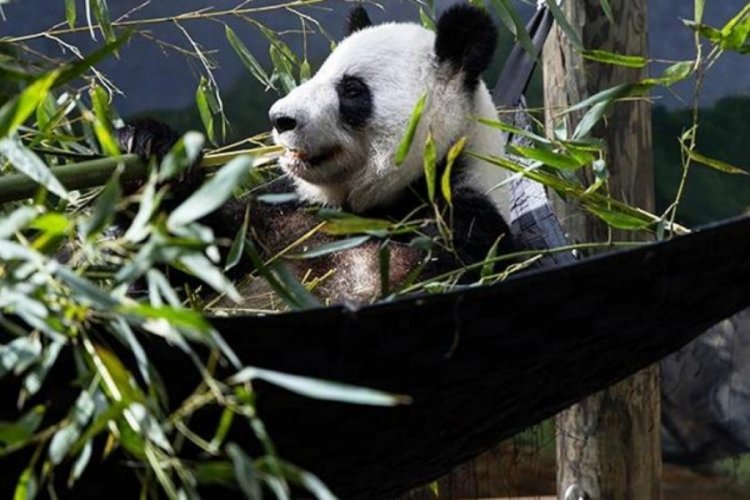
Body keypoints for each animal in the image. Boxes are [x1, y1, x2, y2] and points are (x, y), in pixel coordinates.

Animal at [118, 3, 514, 308]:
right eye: (316, 74)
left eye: (351, 90)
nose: (280, 119)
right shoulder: (281, 211)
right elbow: (188, 266)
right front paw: (147, 148)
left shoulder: (461, 222)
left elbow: (401, 277)